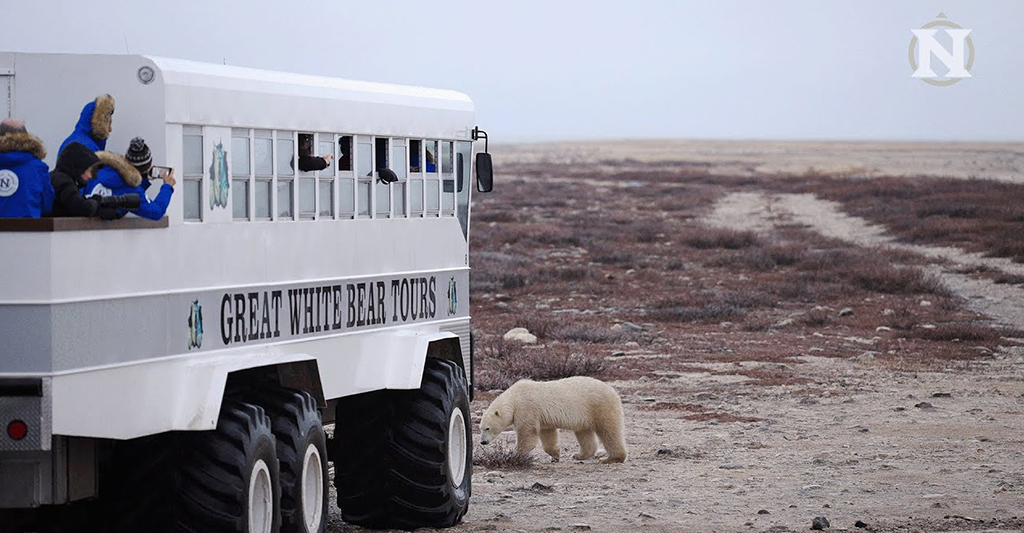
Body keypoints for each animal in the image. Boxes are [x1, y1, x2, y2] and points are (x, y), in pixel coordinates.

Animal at [479, 376, 627, 463]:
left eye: (487, 428)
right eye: (480, 428)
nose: (483, 442)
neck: (515, 398)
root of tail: (612, 390)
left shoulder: (527, 409)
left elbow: (527, 434)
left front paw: (516, 455)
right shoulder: (543, 419)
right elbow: (548, 435)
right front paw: (555, 455)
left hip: (599, 406)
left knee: (609, 430)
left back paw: (612, 458)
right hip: (586, 415)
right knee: (584, 433)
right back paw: (579, 455)